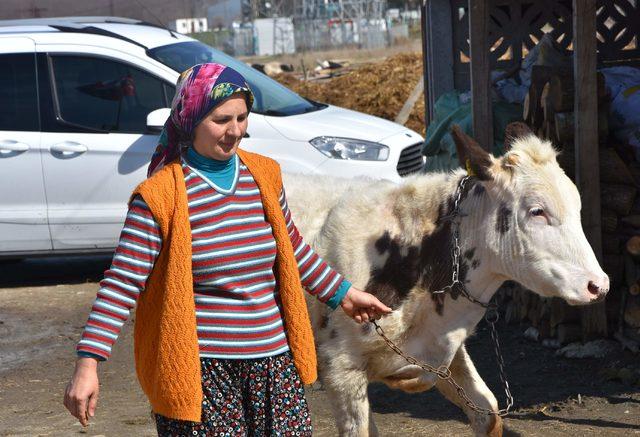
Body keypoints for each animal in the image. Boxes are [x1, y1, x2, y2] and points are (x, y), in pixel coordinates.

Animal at [282, 124, 608, 434]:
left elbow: (488, 412)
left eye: (577, 207)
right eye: (537, 211)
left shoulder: (444, 350)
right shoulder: (341, 369)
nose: (598, 285)